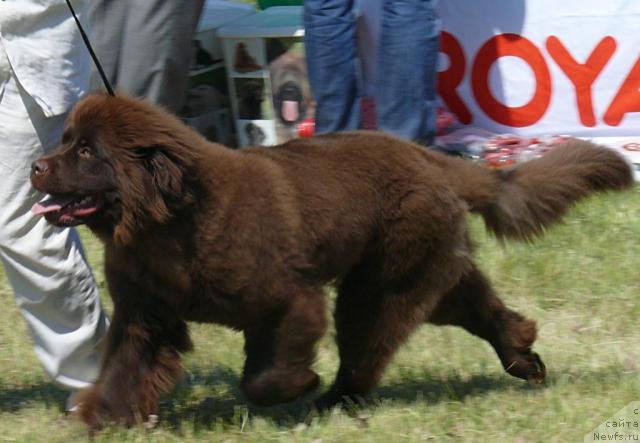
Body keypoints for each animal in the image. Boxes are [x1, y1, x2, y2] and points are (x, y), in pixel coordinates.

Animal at [30, 93, 632, 430]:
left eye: (86, 152)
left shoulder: (290, 299)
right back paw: (523, 359)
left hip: (383, 283)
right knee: (482, 309)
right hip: (427, 269)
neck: (171, 222)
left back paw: (335, 399)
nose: (36, 166)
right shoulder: (145, 314)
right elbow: (124, 368)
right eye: (66, 141)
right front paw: (104, 416)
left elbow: (263, 377)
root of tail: (432, 158)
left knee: (369, 346)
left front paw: (298, 386)